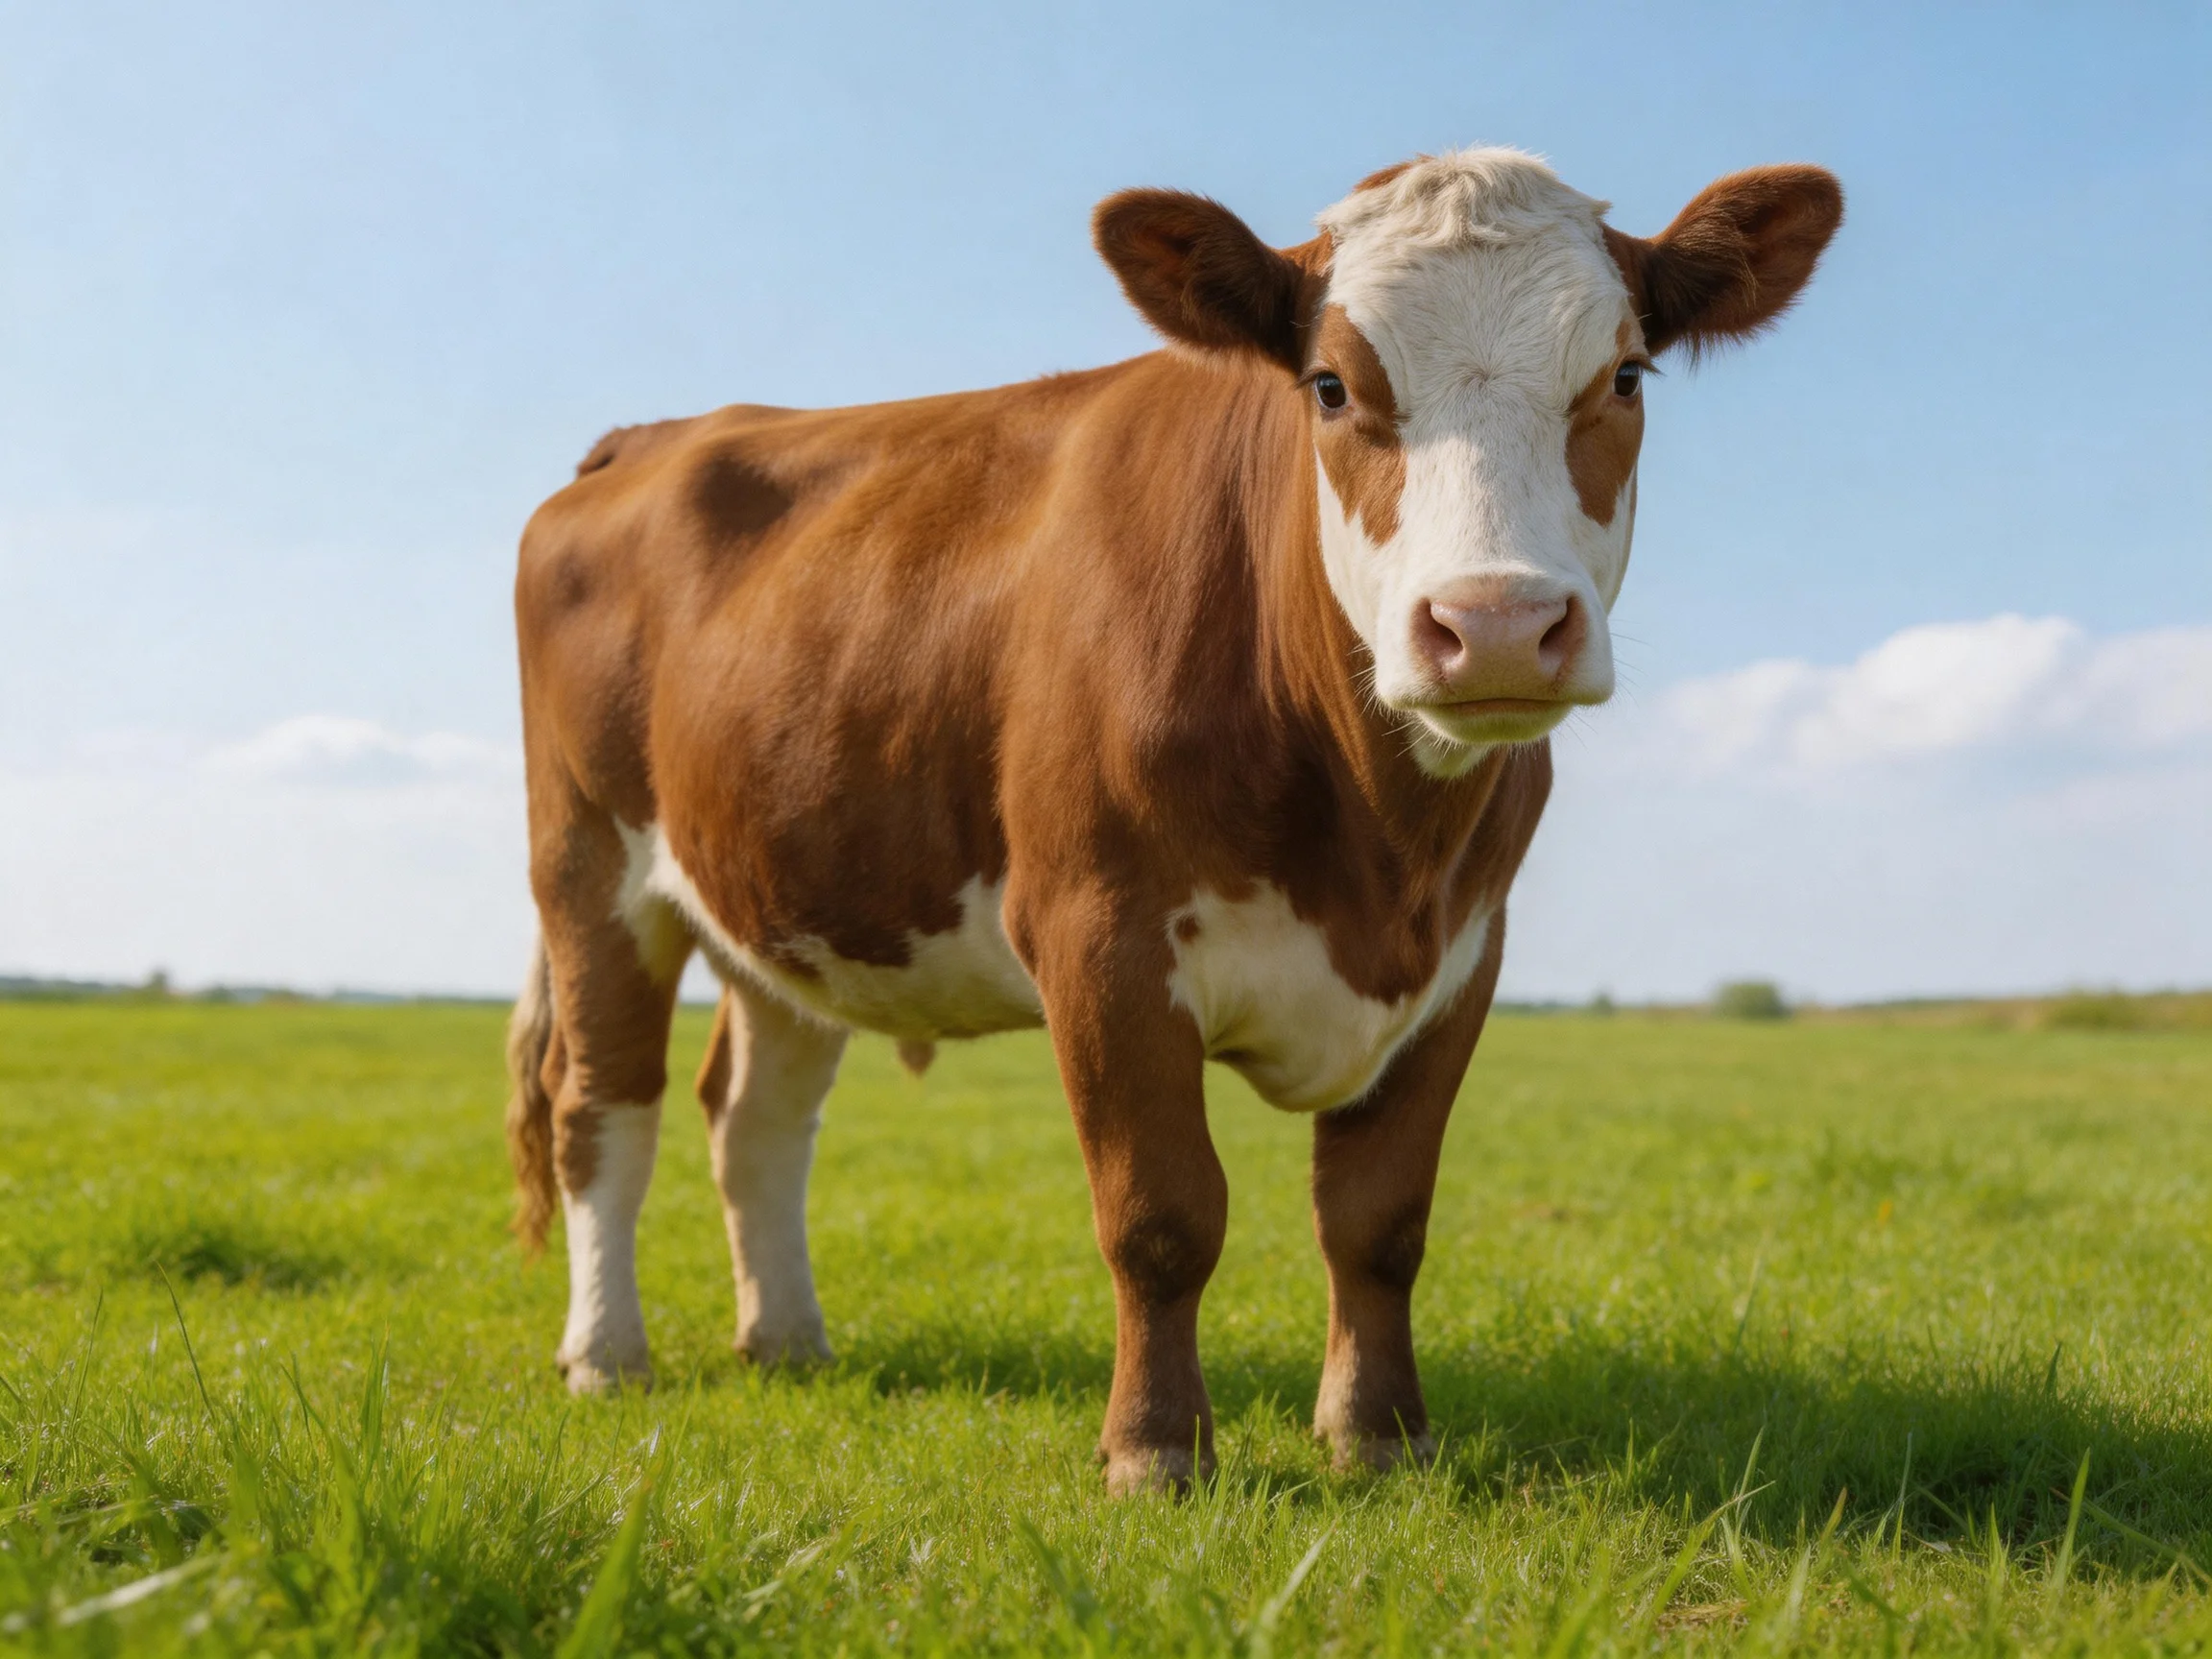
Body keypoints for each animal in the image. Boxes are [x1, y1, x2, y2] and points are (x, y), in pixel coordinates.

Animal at [505, 148, 1842, 1493]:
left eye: (1623, 375)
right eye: (1330, 385)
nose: (1499, 623)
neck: (1376, 849)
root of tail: (655, 436)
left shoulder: (1465, 951)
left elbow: (1379, 1221)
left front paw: (1379, 1435)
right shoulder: (1098, 933)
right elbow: (1161, 1215)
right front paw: (1154, 1451)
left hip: (788, 892)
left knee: (758, 1118)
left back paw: (785, 1341)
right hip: (590, 867)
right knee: (601, 1109)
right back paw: (605, 1355)